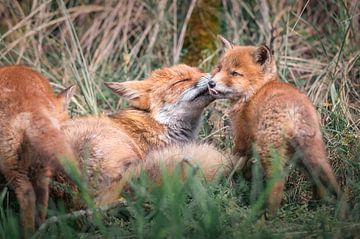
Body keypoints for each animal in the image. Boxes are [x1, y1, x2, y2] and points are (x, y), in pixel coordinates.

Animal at [0, 65, 78, 235]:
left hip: (10, 162)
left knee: (27, 194)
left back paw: (27, 233)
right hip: (41, 162)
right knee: (42, 194)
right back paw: (40, 230)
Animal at [207, 37, 342, 217]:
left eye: (234, 73)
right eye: (219, 68)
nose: (211, 83)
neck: (254, 93)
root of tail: (294, 109)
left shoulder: (242, 139)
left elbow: (235, 162)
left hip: (269, 153)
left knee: (277, 184)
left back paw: (267, 215)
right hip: (312, 154)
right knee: (325, 181)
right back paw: (324, 207)